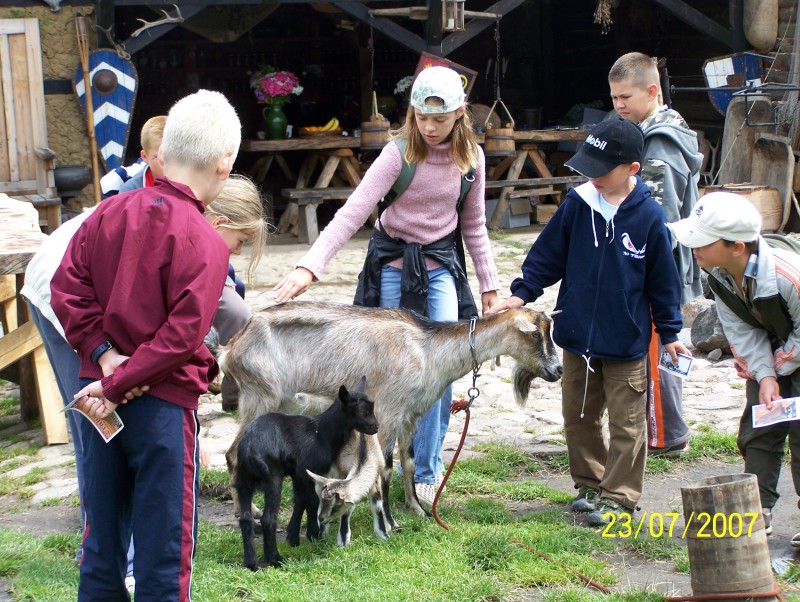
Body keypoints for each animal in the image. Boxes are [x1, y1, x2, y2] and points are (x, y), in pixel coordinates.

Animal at [221, 301, 562, 522]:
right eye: (535, 334)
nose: (557, 371)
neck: (427, 349)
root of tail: (232, 347)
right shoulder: (386, 413)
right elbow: (384, 466)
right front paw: (389, 520)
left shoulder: (411, 415)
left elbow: (408, 462)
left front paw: (418, 511)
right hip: (259, 397)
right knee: (232, 452)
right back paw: (248, 512)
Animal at [232, 377, 378, 570]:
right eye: (363, 411)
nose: (376, 427)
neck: (321, 432)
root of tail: (249, 450)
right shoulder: (307, 469)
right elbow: (312, 500)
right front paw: (313, 534)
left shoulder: (298, 473)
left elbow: (300, 500)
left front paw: (293, 537)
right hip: (273, 478)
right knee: (268, 518)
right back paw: (275, 559)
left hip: (243, 481)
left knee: (246, 518)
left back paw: (251, 563)